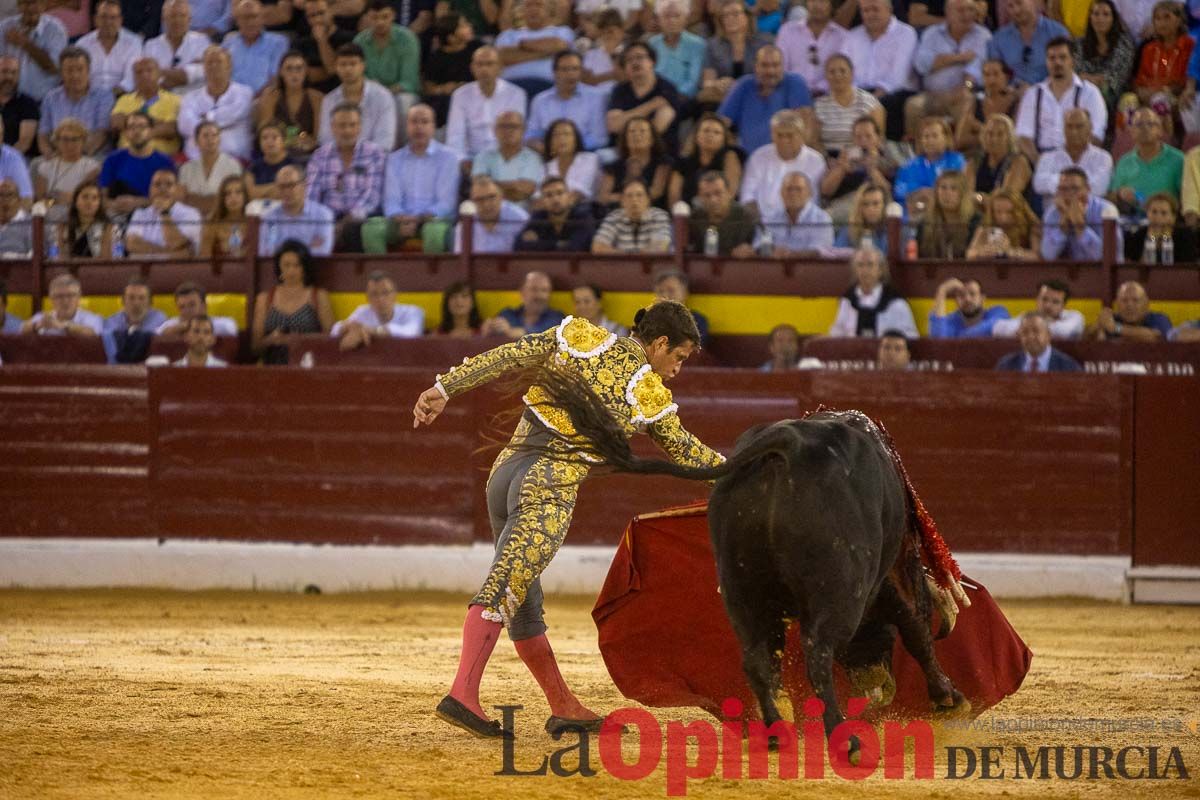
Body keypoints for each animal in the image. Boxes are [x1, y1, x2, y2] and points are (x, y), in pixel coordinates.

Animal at [530, 369, 969, 758]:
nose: (878, 688)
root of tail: (787, 442)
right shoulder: (885, 579)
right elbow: (914, 627)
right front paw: (949, 697)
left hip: (740, 587)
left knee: (757, 660)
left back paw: (776, 733)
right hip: (838, 591)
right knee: (817, 653)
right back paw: (844, 738)